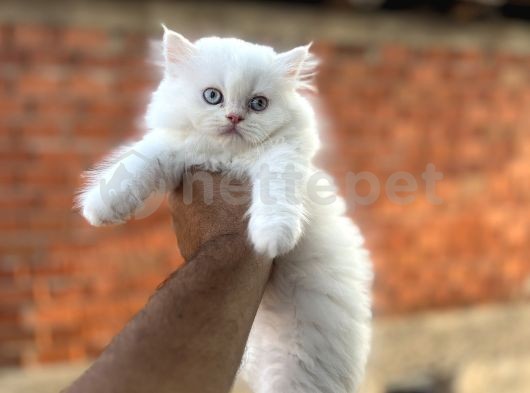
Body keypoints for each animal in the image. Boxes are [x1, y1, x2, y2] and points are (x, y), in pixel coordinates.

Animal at [77, 26, 372, 392]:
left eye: (258, 104)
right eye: (213, 97)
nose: (234, 117)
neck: (229, 158)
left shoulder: (283, 160)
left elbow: (276, 197)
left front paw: (271, 239)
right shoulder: (172, 148)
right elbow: (136, 164)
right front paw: (101, 207)